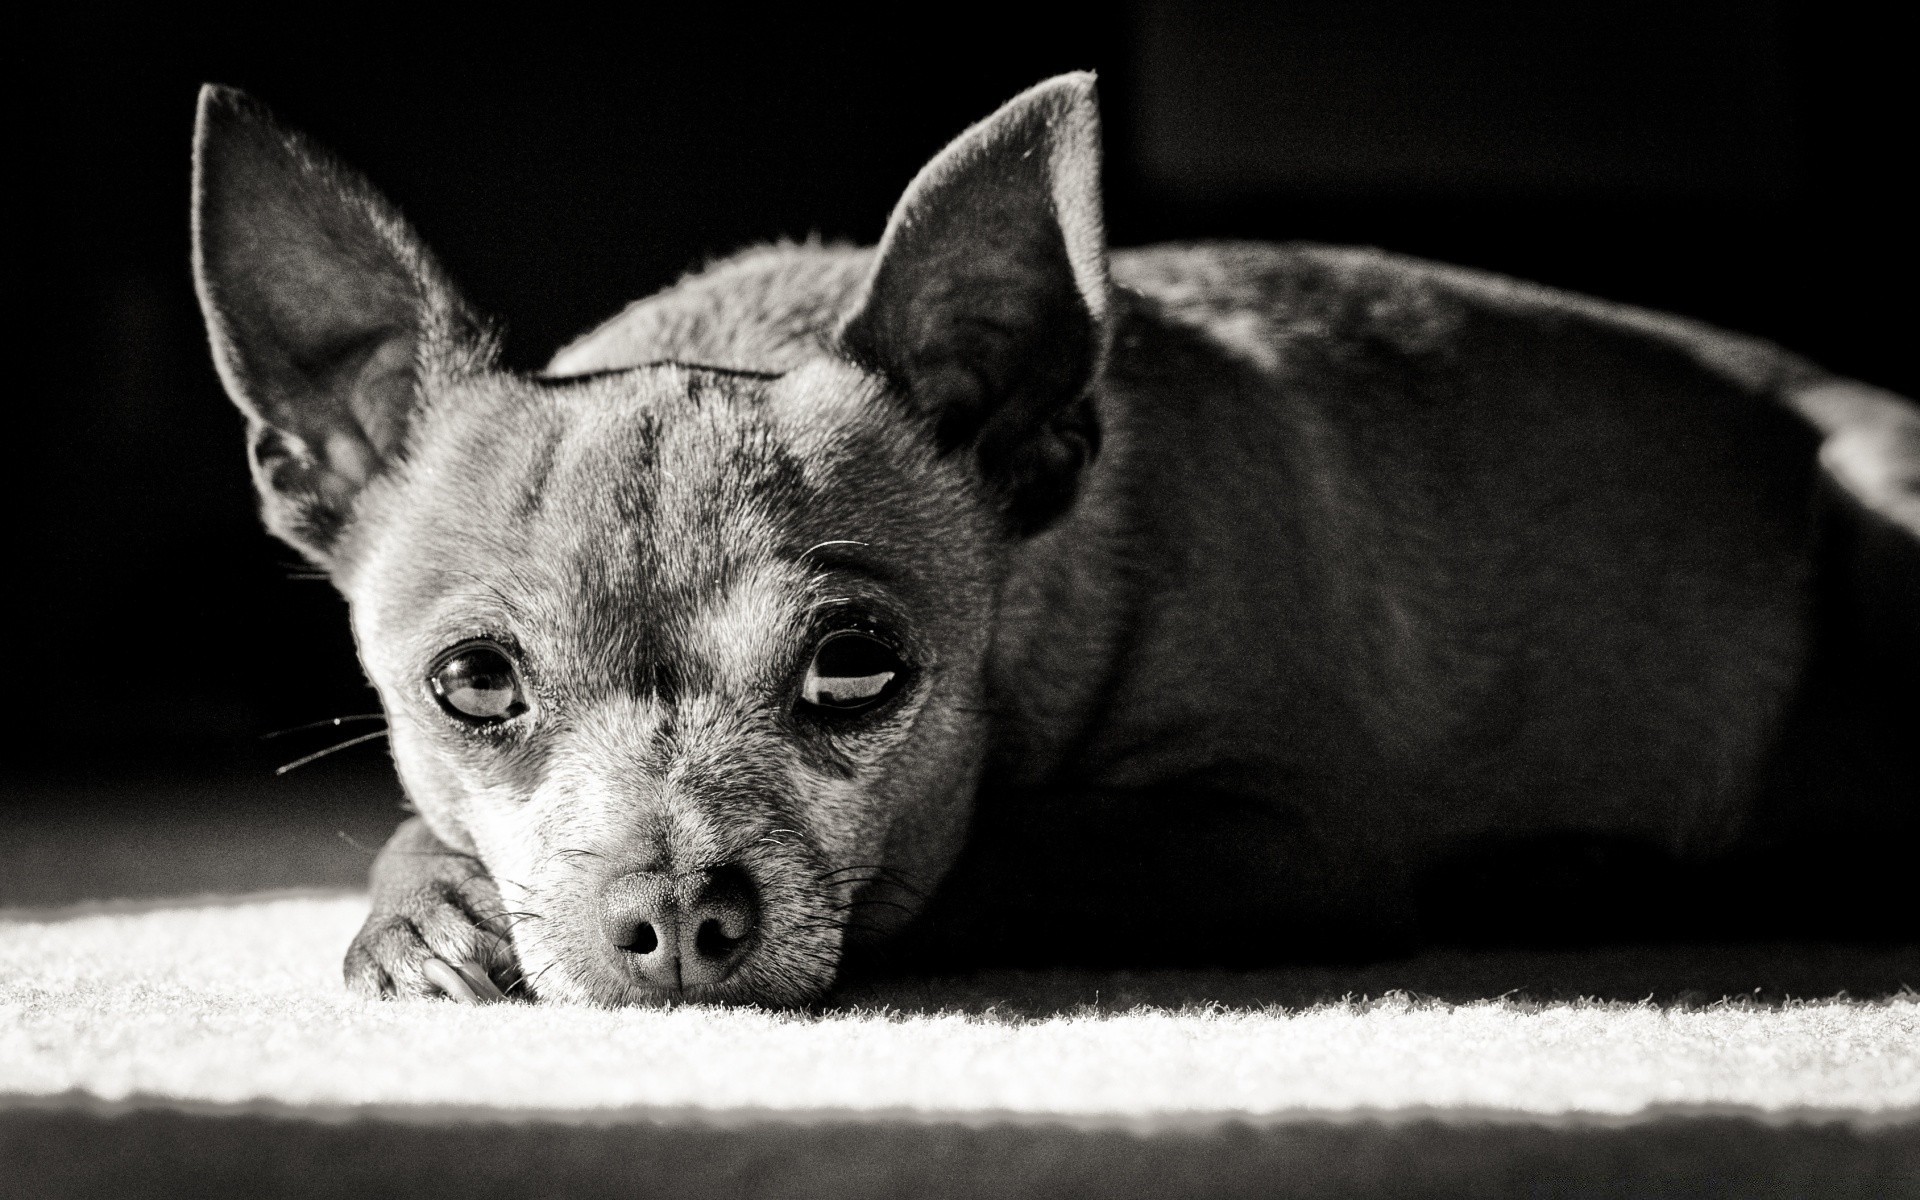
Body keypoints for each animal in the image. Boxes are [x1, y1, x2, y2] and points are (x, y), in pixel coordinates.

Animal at [187, 74, 1912, 1006]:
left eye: (857, 669)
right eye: (474, 683)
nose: (676, 916)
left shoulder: (1277, 837)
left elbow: (983, 860)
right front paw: (422, 908)